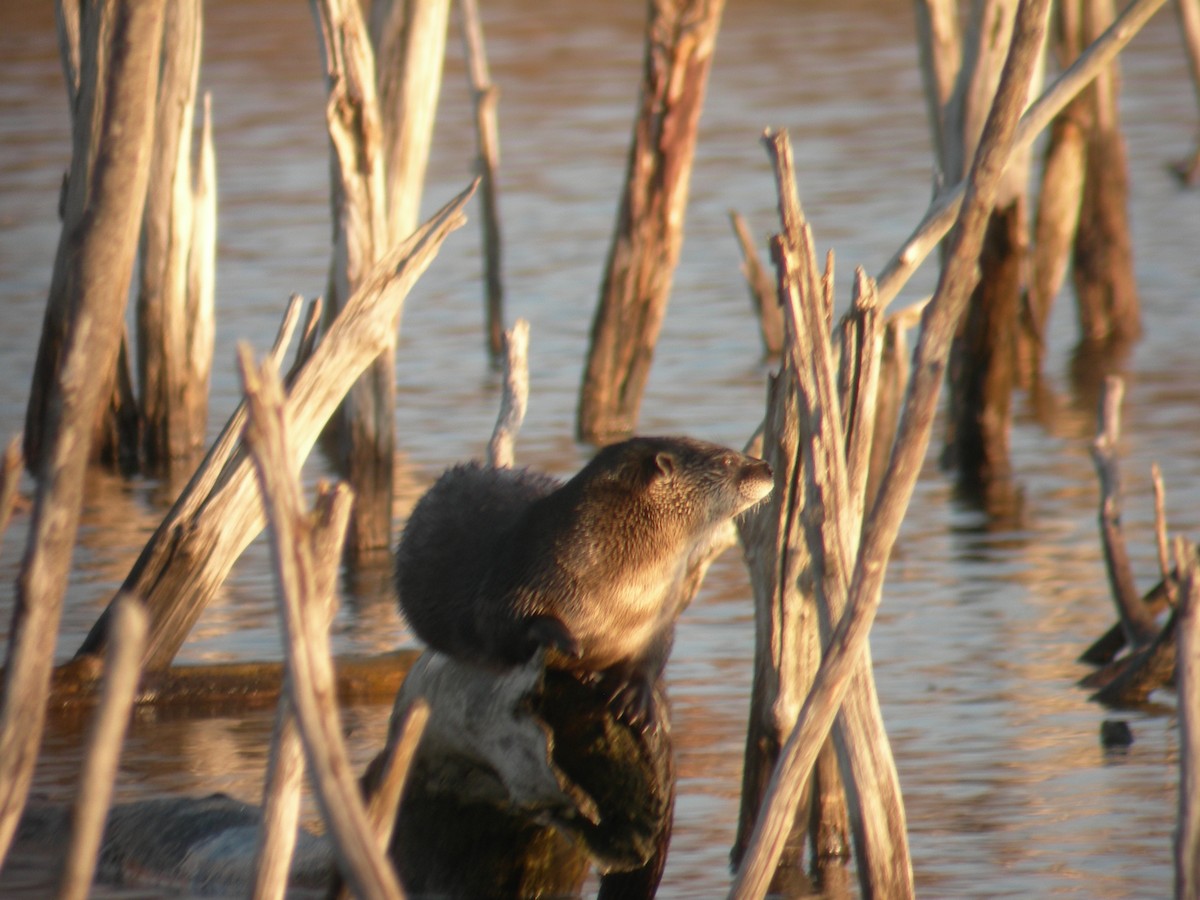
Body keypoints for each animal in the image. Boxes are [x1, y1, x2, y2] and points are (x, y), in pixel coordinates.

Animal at [394, 436, 773, 727]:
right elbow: (504, 622)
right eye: (726, 459)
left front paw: (636, 694)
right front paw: (560, 638)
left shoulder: (662, 614)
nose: (768, 467)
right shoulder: (516, 575)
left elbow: (656, 653)